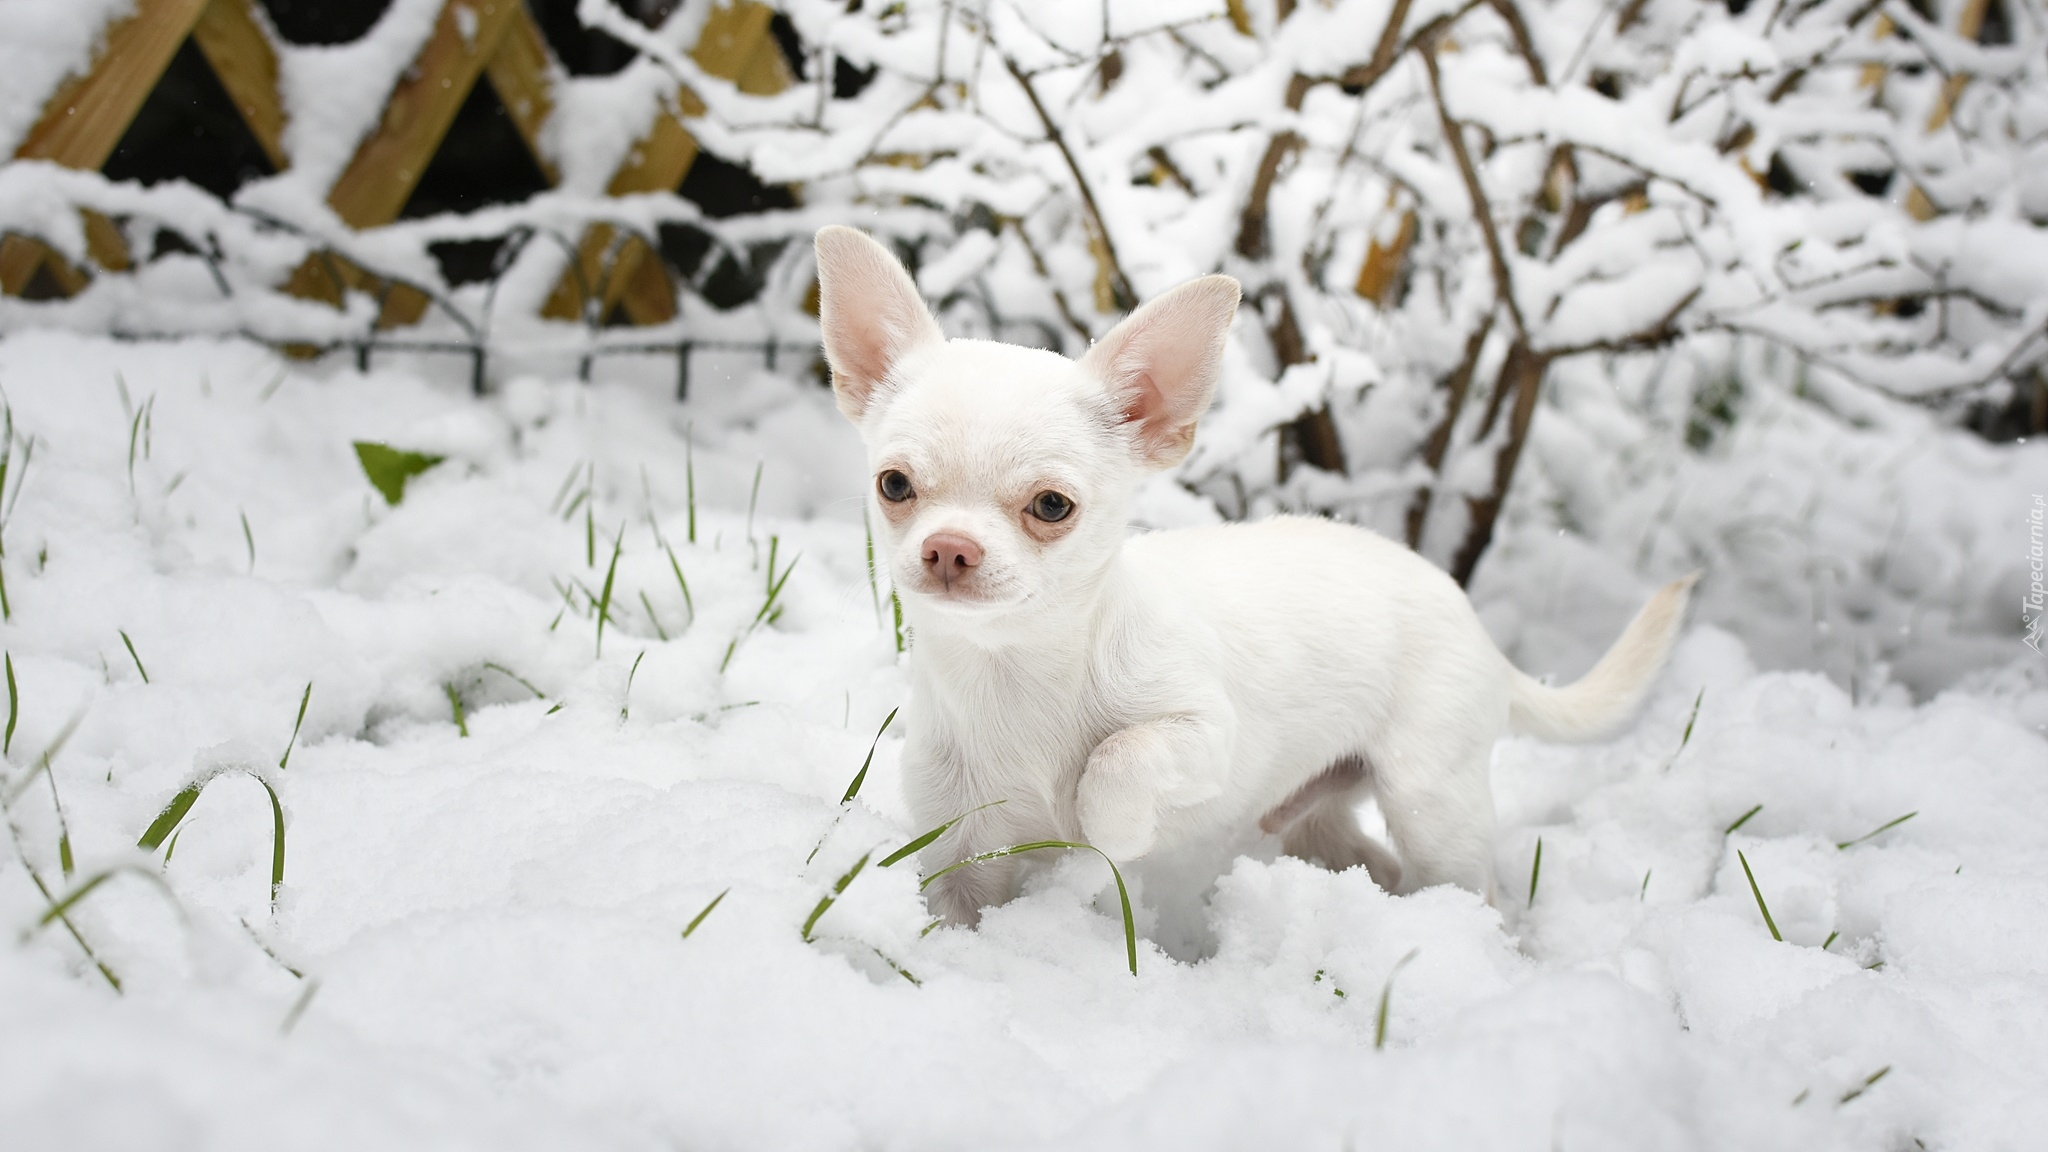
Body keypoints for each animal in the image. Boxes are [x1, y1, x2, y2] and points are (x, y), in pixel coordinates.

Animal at [815, 224, 1695, 922]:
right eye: (895, 486)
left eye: (1052, 506)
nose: (949, 548)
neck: (1015, 672)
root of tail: (1478, 628)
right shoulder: (957, 846)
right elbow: (953, 915)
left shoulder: (1204, 735)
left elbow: (1119, 758)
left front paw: (1111, 829)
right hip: (1318, 817)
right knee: (1365, 858)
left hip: (1430, 797)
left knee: (1467, 884)